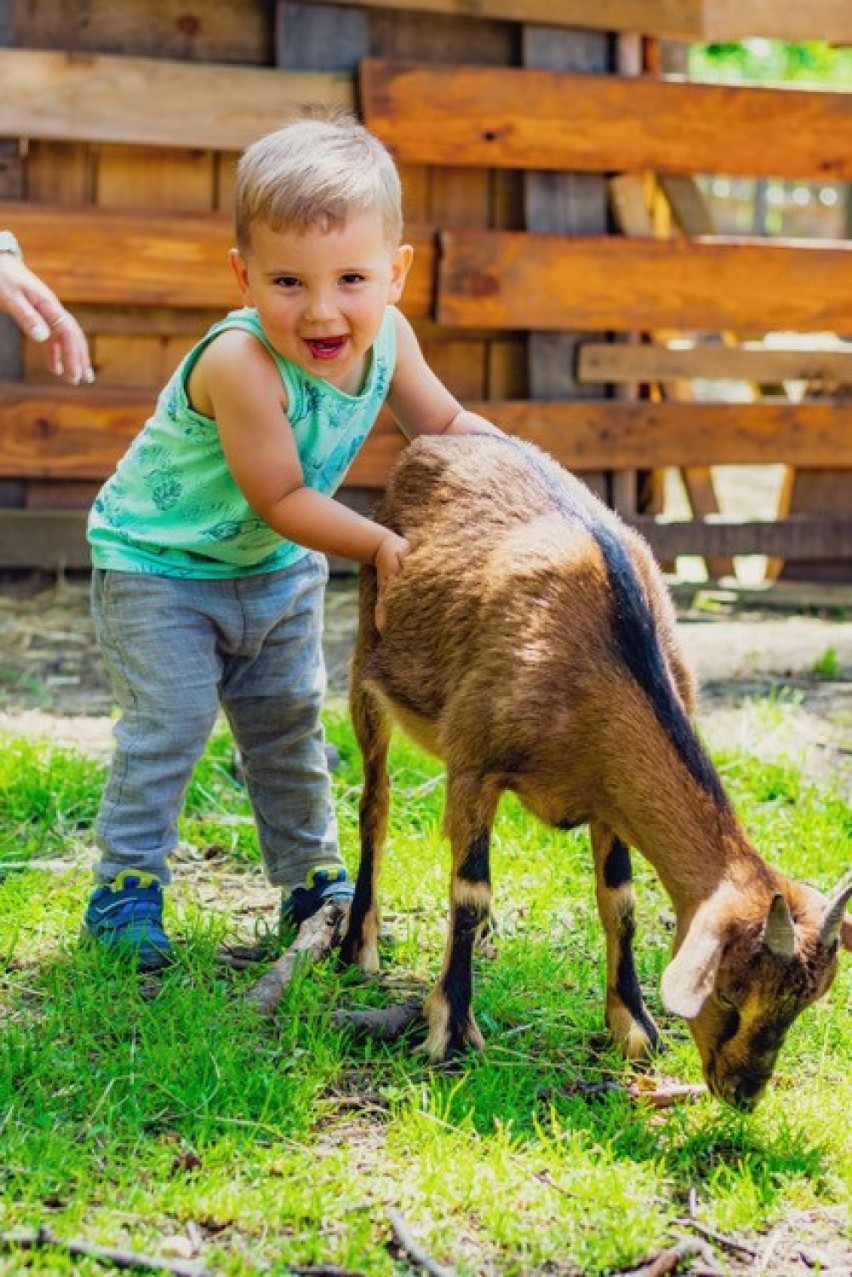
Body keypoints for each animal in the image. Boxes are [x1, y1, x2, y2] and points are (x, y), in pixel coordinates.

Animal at [339, 436, 852, 1108]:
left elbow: (621, 903)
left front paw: (635, 1028)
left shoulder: (610, 797)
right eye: (731, 990)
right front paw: (450, 1031)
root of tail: (432, 444)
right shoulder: (473, 763)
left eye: (805, 1003)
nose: (742, 1092)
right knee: (375, 805)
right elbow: (470, 891)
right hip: (365, 669)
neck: (602, 660)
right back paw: (359, 945)